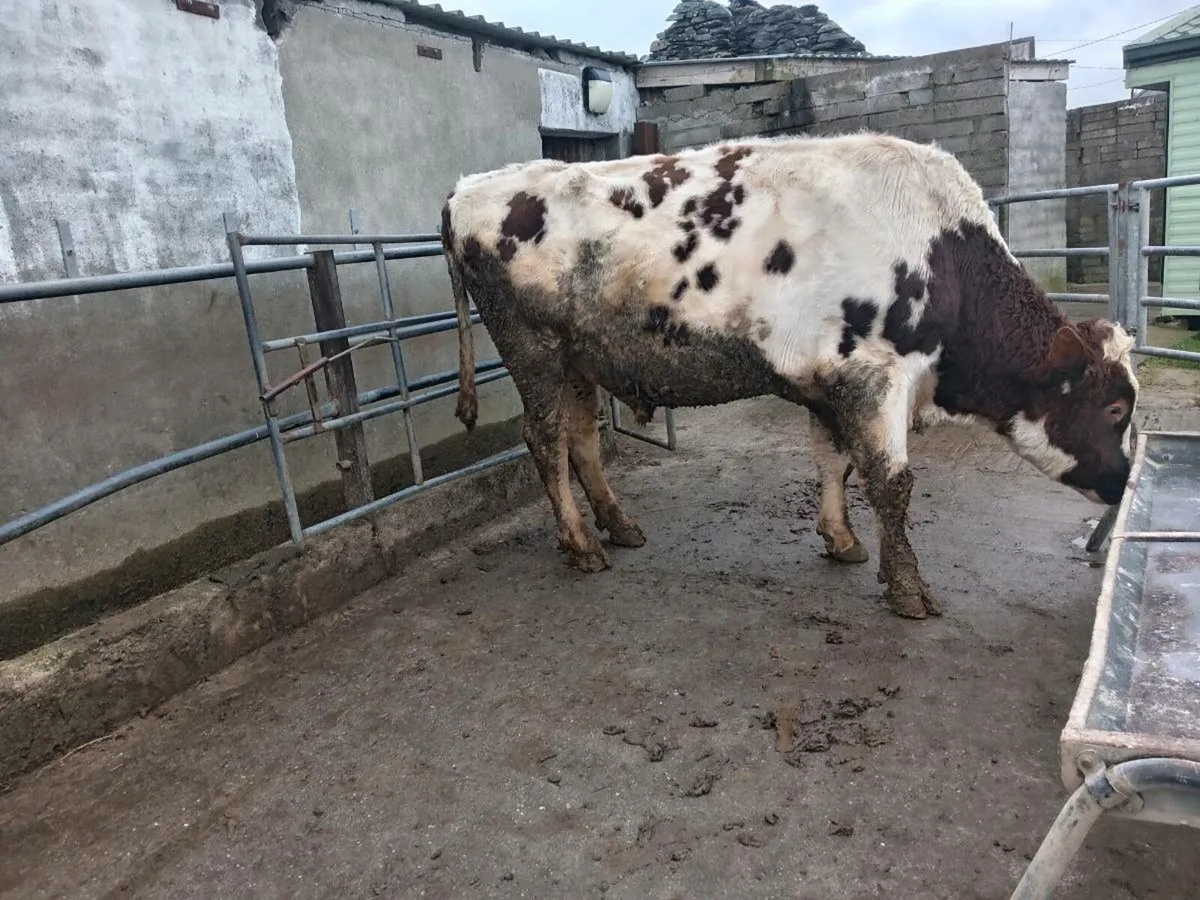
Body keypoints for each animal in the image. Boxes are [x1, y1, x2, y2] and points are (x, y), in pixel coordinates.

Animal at [439, 132, 1138, 620]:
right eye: (1115, 410)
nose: (1123, 482)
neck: (943, 256)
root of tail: (470, 187)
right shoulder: (874, 377)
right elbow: (892, 484)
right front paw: (908, 588)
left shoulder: (829, 383)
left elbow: (835, 462)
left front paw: (841, 538)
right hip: (533, 347)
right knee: (545, 439)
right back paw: (581, 544)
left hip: (578, 357)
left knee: (582, 438)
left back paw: (618, 525)